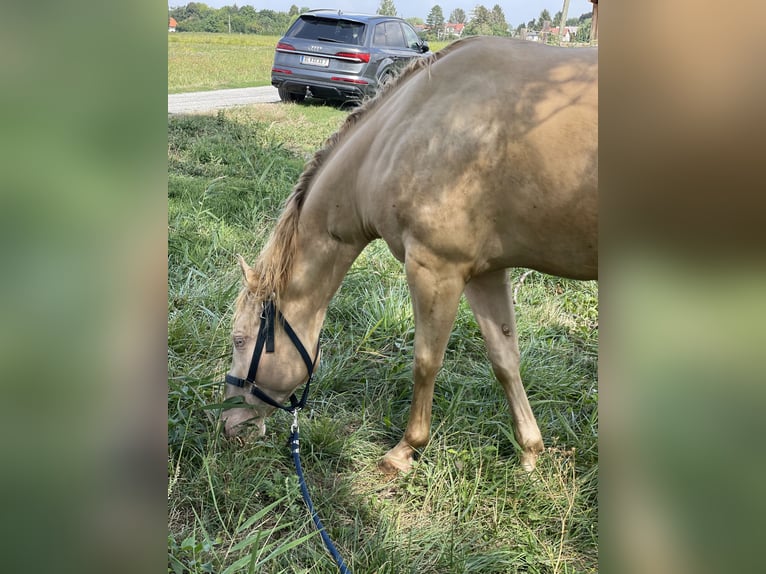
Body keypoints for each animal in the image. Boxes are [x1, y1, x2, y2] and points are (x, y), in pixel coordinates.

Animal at [222, 37, 600, 476]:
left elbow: (426, 360)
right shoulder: (486, 272)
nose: (228, 424)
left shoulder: (435, 268)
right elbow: (505, 358)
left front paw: (406, 449)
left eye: (239, 339)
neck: (407, 130)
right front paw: (530, 450)